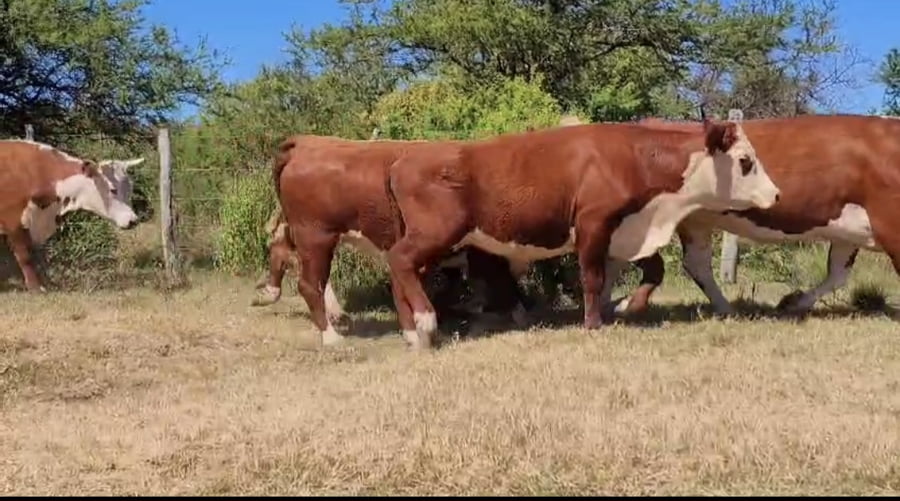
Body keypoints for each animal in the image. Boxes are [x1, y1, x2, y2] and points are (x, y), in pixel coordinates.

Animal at [0, 139, 141, 291]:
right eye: (113, 190)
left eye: (130, 189)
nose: (133, 220)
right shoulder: (13, 221)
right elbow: (25, 256)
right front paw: (36, 287)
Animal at [384, 118, 781, 350]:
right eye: (745, 161)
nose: (776, 194)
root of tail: (403, 160)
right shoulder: (594, 224)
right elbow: (591, 278)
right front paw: (593, 323)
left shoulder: (624, 230)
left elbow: (653, 271)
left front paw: (623, 305)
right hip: (436, 233)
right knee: (399, 260)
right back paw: (425, 321)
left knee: (401, 273)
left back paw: (413, 334)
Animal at [604, 114, 900, 317]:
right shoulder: (889, 225)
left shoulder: (848, 233)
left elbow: (837, 275)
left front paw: (793, 302)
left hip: (697, 220)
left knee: (694, 263)